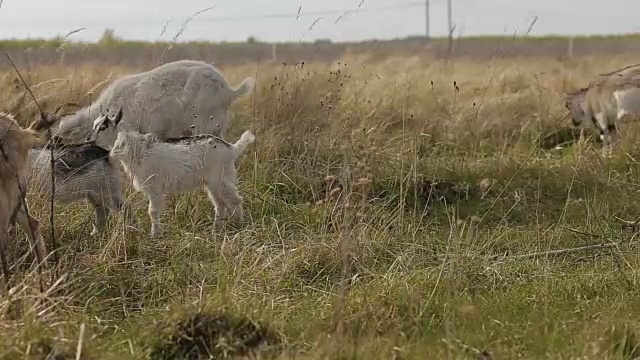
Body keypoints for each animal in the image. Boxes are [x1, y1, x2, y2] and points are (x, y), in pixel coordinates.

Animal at [106, 120, 254, 236]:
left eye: (119, 144)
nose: (110, 155)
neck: (141, 153)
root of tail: (232, 149)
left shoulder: (154, 189)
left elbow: (152, 211)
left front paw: (154, 234)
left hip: (220, 180)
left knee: (235, 200)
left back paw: (238, 225)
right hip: (213, 184)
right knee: (220, 204)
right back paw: (215, 230)